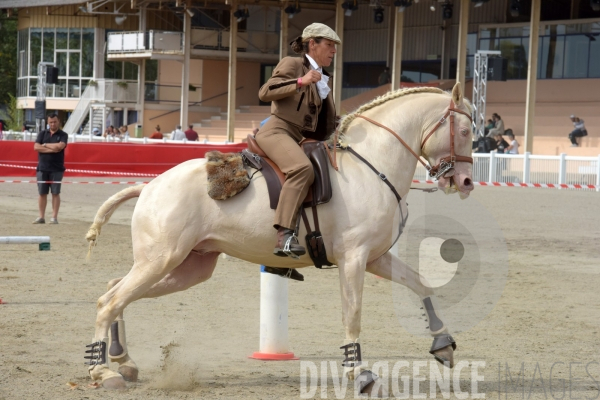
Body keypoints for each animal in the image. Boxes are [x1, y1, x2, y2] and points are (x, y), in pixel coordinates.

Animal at [84, 83, 476, 392]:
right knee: (109, 301)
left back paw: (122, 359)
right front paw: (360, 373)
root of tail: (150, 185)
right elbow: (352, 315)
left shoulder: (376, 258)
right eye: (466, 131)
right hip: (162, 260)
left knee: (113, 291)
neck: (370, 166)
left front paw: (442, 343)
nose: (466, 182)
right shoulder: (354, 259)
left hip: (186, 268)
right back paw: (103, 371)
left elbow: (420, 283)